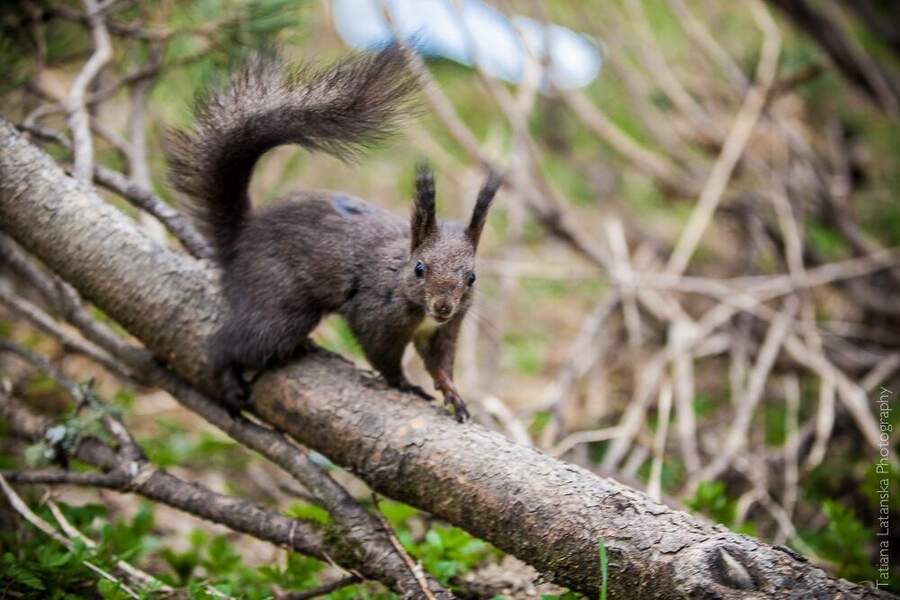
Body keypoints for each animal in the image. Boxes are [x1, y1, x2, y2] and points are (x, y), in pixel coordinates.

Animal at [167, 45, 501, 422]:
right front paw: (403, 384)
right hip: (277, 307)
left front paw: (452, 392)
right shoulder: (375, 314)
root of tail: (239, 238)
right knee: (226, 344)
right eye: (419, 269)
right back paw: (229, 380)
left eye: (472, 277)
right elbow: (383, 356)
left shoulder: (446, 330)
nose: (443, 306)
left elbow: (439, 364)